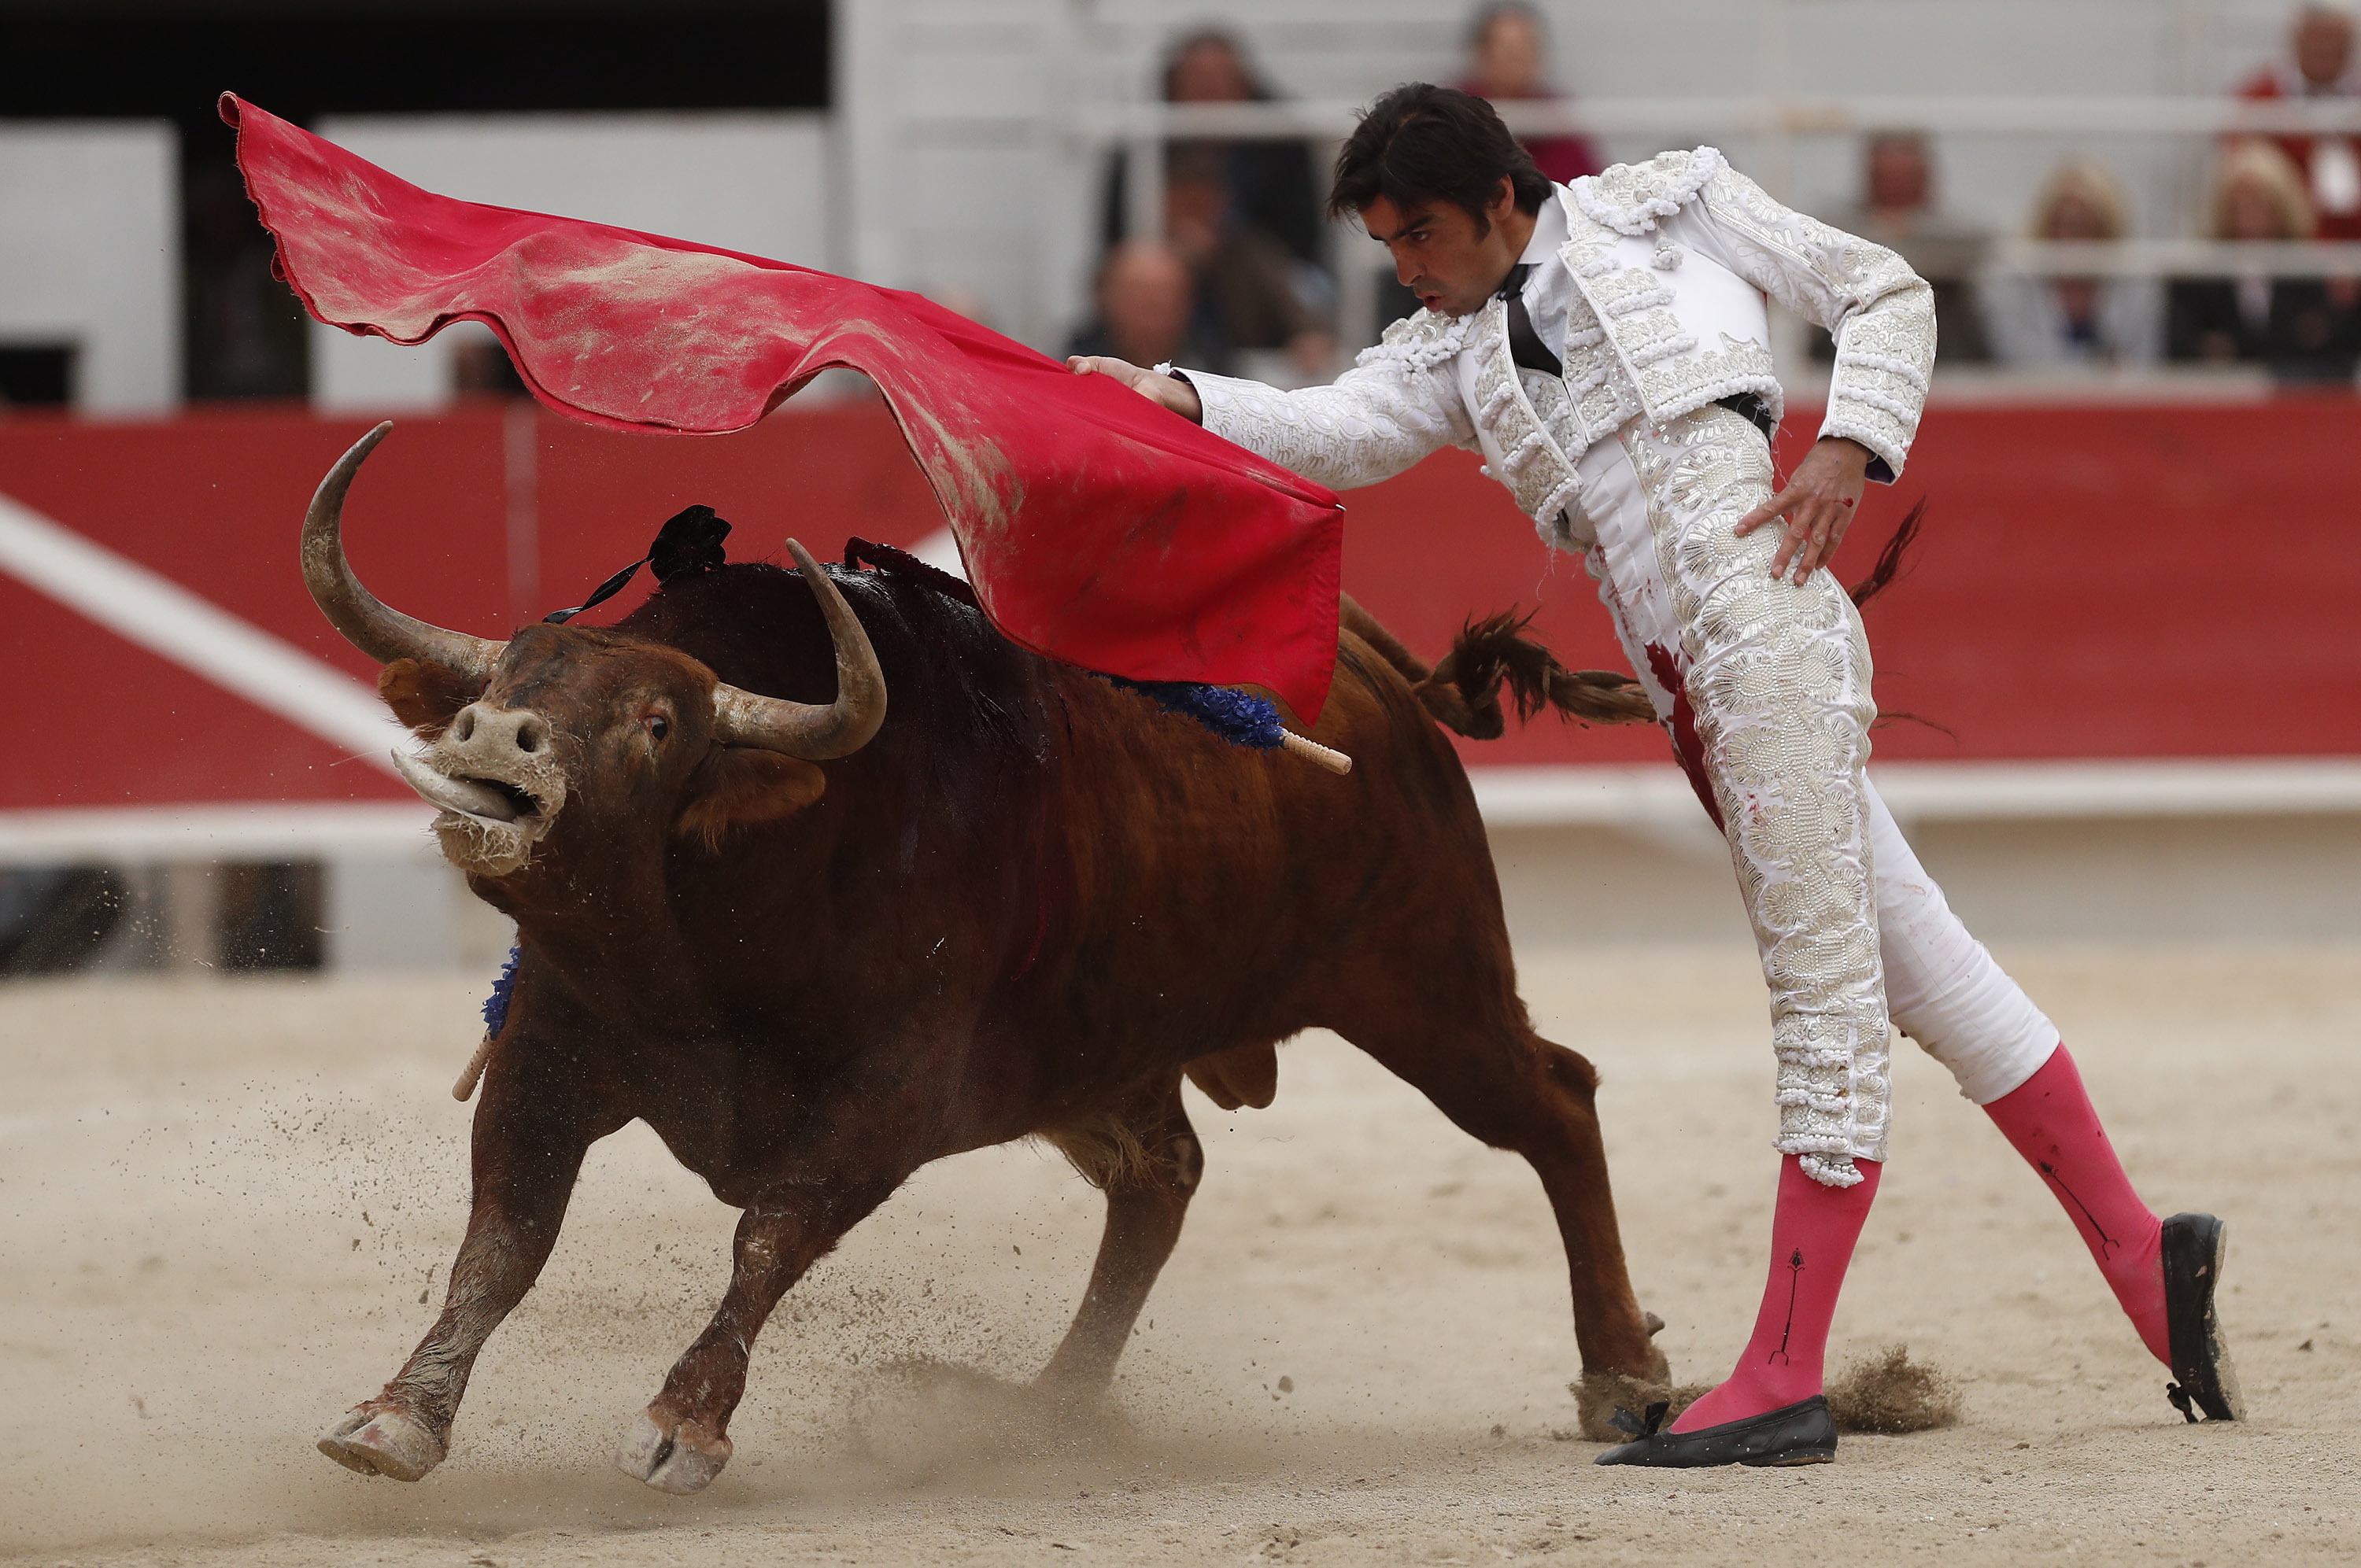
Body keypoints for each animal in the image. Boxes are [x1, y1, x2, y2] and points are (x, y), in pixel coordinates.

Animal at [314, 420, 1672, 1492]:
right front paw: (395, 1417)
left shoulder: (893, 1097)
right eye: (512, 670)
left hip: (1422, 976)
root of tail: (1383, 677)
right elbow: (503, 1237)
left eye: (658, 723)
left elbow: (770, 1231)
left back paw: (1623, 1376)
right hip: (1108, 1048)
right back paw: (1048, 1413)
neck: (708, 929)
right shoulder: (547, 1054)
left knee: (1555, 1100)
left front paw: (681, 1424)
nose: (496, 733)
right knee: (1162, 1179)